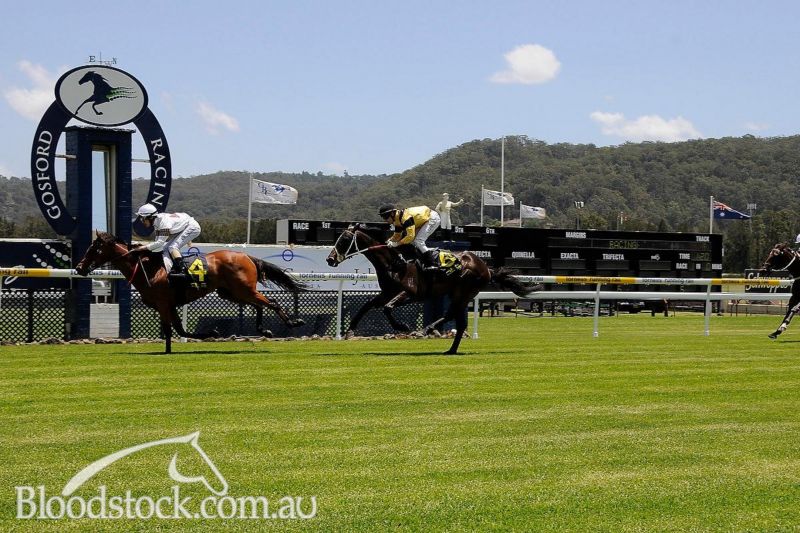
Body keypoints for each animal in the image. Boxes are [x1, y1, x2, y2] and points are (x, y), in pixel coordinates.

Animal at [76, 231, 307, 353]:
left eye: (94, 249)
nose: (78, 268)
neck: (147, 268)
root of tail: (247, 256)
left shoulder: (163, 304)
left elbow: (172, 330)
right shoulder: (168, 305)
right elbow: (180, 330)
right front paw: (210, 333)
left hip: (243, 290)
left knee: (272, 303)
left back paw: (293, 322)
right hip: (231, 292)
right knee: (260, 304)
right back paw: (263, 329)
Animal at [325, 224, 542, 354]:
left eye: (344, 240)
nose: (330, 259)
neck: (396, 263)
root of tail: (486, 268)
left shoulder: (410, 293)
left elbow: (387, 308)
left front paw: (403, 327)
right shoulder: (387, 293)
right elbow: (367, 306)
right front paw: (349, 331)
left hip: (463, 291)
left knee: (452, 315)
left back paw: (427, 329)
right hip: (459, 293)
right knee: (458, 321)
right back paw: (450, 349)